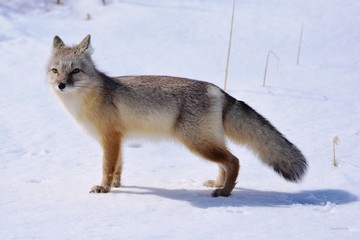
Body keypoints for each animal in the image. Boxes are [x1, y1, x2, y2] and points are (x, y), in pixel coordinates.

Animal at [47, 35, 306, 197]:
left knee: (234, 161)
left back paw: (224, 192)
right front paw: (117, 186)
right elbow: (118, 167)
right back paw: (218, 184)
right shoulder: (118, 139)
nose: (61, 85)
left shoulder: (110, 138)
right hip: (208, 142)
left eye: (75, 71)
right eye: (55, 70)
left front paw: (104, 189)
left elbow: (107, 167)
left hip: (198, 143)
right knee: (225, 163)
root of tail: (218, 90)